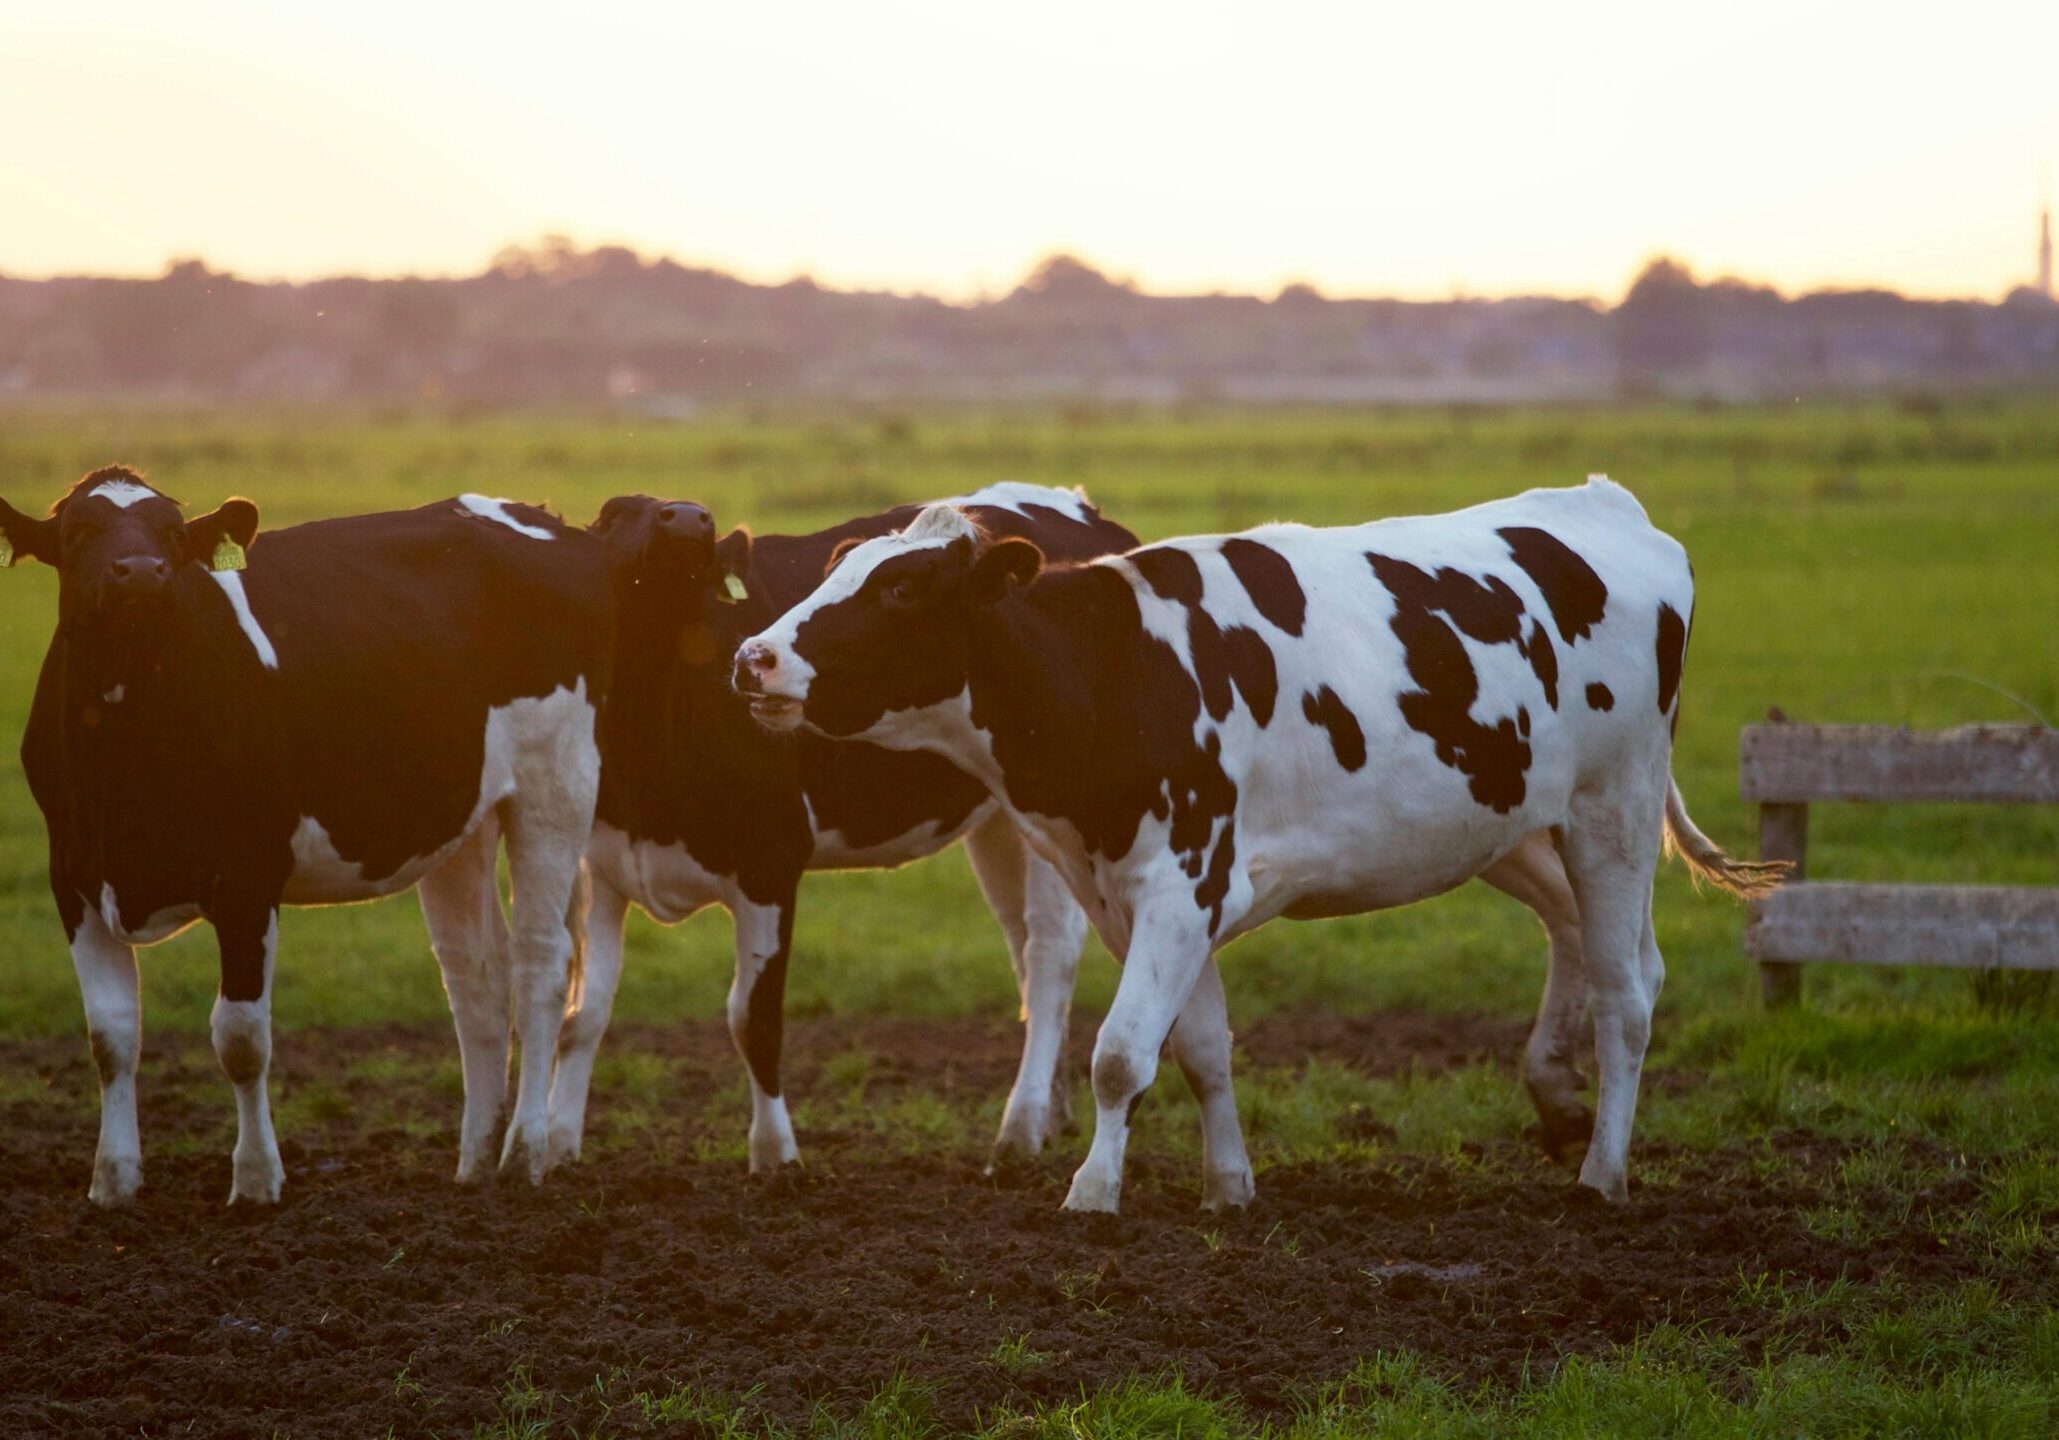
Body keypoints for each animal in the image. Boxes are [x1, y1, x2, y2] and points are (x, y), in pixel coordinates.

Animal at [0, 467, 605, 1203]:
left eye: (172, 535)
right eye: (79, 532)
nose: (141, 571)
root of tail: (537, 515)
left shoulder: (247, 878)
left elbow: (240, 1038)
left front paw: (257, 1180)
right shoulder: (75, 878)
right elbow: (110, 1036)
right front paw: (113, 1183)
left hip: (556, 785)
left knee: (540, 964)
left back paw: (524, 1154)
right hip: (461, 818)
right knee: (476, 977)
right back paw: (473, 1162)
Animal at [543, 477, 1144, 1178]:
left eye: (703, 523)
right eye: (614, 514)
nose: (689, 518)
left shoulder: (770, 862)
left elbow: (753, 1018)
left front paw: (775, 1156)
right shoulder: (603, 866)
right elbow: (583, 1014)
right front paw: (556, 1145)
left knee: (1049, 956)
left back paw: (1020, 1128)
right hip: (1001, 823)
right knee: (1022, 949)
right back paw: (1051, 1113)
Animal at [737, 477, 1787, 1211]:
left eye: (901, 588)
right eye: (835, 571)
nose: (752, 657)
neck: (1116, 671)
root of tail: (1605, 505)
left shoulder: (1180, 882)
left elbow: (1119, 1054)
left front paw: (1092, 1193)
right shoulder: (1139, 895)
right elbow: (1199, 1048)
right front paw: (1227, 1186)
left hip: (1614, 809)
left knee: (1627, 994)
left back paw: (1603, 1172)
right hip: (1513, 823)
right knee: (1587, 941)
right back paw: (1557, 1099)